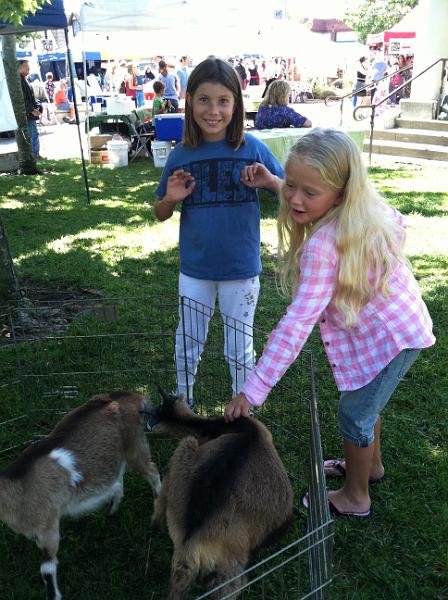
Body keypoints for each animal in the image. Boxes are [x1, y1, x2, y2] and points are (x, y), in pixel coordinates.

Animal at [0, 390, 161, 600]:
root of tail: (134, 396)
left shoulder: (49, 526)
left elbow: (47, 569)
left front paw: (54, 595)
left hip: (135, 444)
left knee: (152, 470)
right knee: (117, 477)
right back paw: (112, 509)